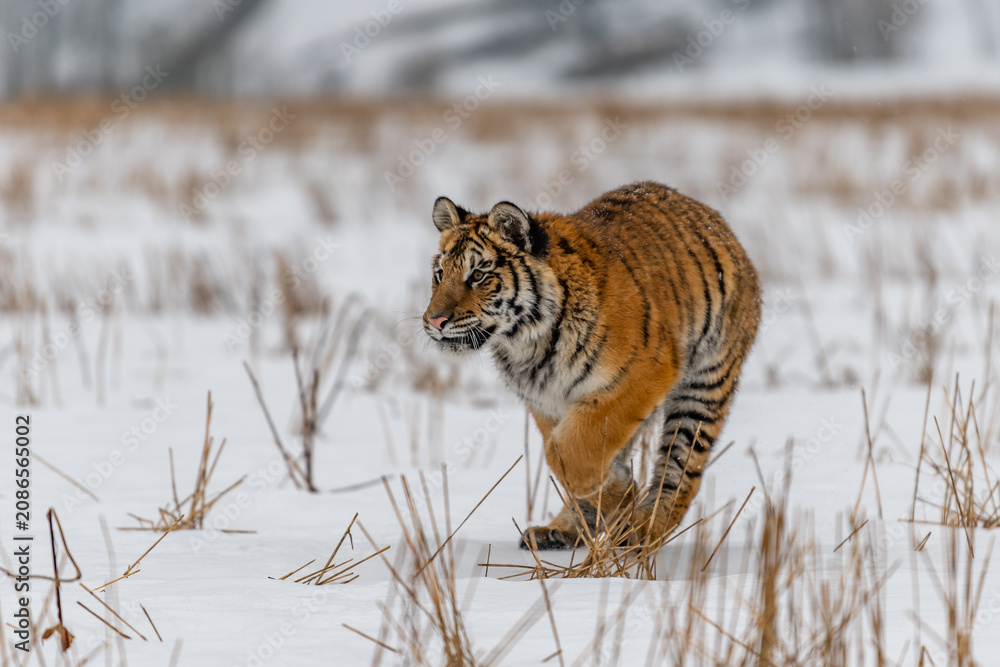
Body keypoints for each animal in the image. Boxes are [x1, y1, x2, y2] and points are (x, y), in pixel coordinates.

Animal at [422, 181, 761, 550]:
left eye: (479, 275)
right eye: (439, 275)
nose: (434, 320)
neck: (529, 344)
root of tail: (712, 217)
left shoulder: (639, 376)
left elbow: (570, 452)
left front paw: (621, 495)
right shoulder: (547, 403)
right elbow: (564, 456)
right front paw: (617, 493)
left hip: (704, 386)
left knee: (681, 469)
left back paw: (643, 528)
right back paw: (561, 530)